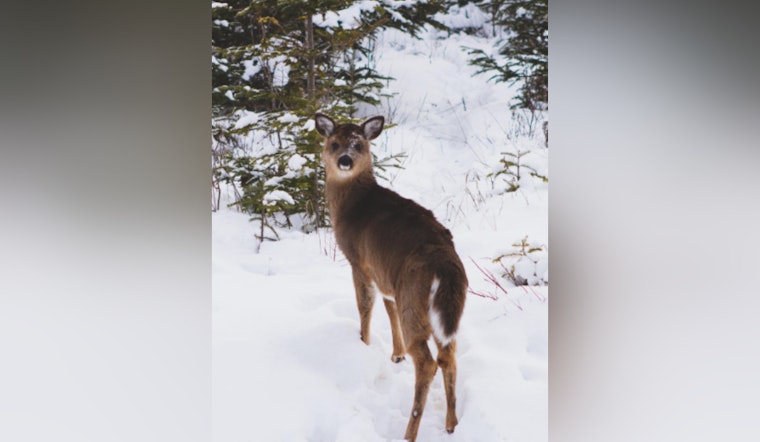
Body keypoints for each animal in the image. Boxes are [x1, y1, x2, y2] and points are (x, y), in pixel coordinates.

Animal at [314, 113, 468, 441]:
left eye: (358, 144)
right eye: (334, 143)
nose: (345, 160)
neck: (349, 206)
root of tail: (444, 265)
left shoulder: (359, 262)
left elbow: (365, 306)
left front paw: (363, 344)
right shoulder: (386, 276)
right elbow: (388, 307)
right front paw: (396, 355)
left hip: (414, 296)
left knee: (427, 362)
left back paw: (409, 432)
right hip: (448, 307)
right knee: (448, 354)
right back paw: (451, 424)